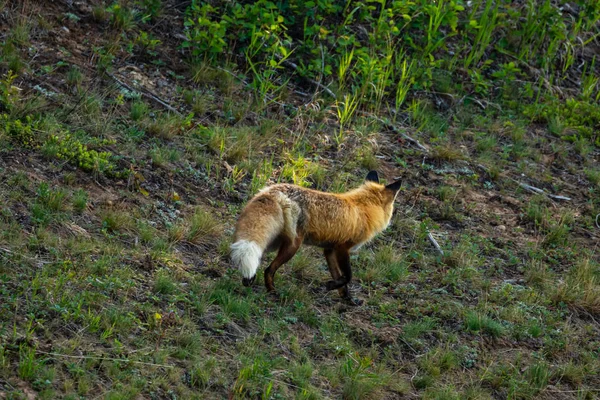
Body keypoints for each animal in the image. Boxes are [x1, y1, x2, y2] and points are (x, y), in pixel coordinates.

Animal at [231, 171, 404, 300]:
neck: (363, 208)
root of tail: (274, 190)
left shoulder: (329, 250)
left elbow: (340, 280)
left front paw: (346, 298)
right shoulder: (342, 248)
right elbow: (348, 276)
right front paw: (333, 287)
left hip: (272, 242)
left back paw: (248, 281)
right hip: (292, 246)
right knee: (268, 270)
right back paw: (272, 292)